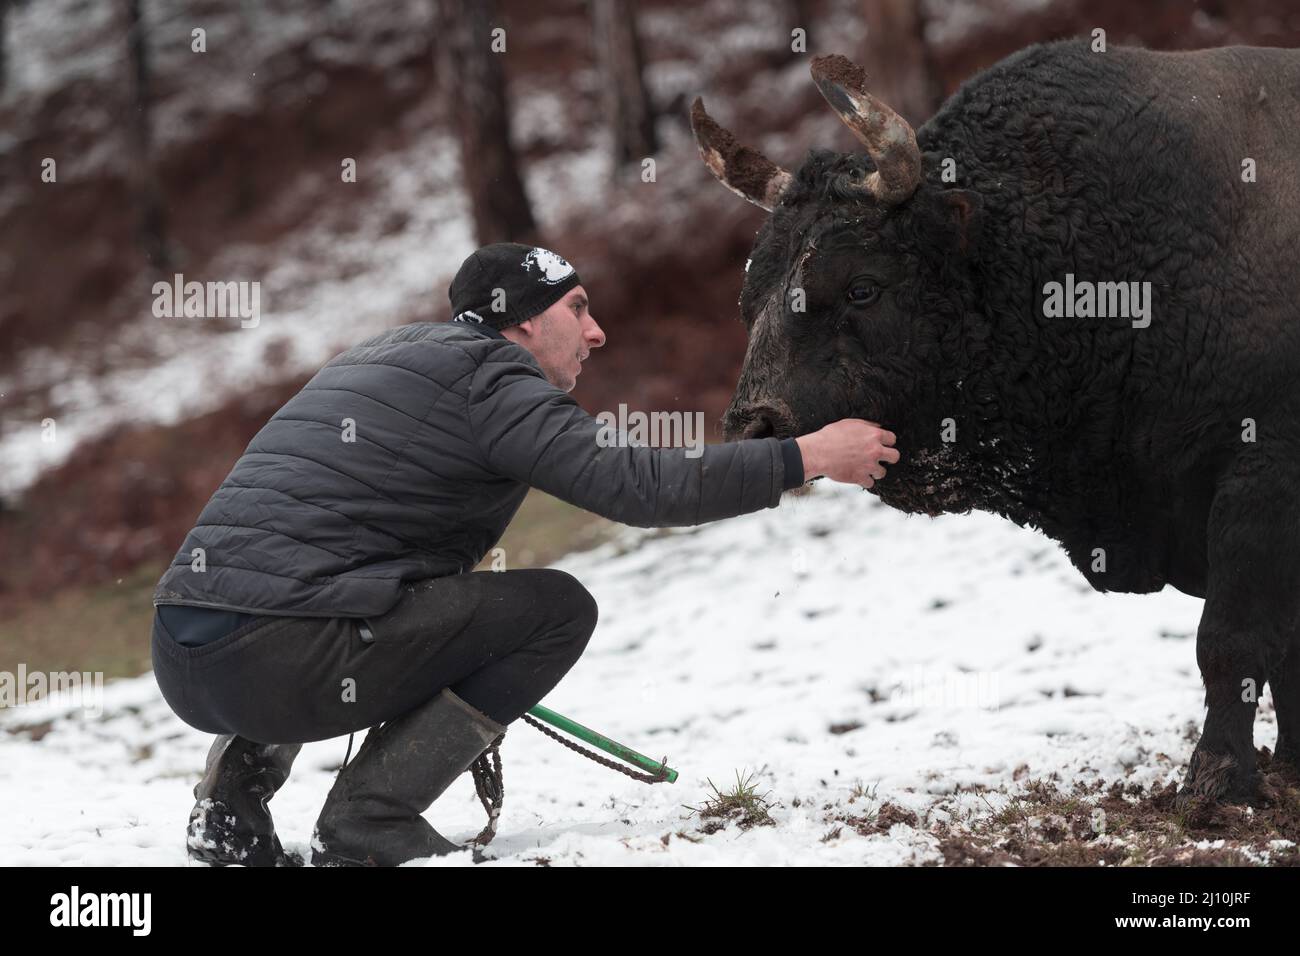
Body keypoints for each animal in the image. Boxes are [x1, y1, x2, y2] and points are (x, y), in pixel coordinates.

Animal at [691, 40, 1300, 807]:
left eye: (862, 286)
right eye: (751, 298)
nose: (755, 425)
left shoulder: (1262, 475)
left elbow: (1231, 642)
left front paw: (1217, 781)